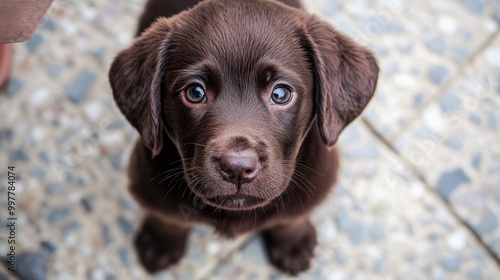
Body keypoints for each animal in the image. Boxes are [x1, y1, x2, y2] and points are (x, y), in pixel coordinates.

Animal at [107, 0, 376, 276]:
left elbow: (290, 219)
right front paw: (161, 243)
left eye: (280, 94)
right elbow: (168, 218)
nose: (237, 168)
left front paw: (293, 244)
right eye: (195, 92)